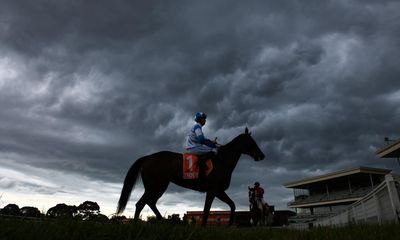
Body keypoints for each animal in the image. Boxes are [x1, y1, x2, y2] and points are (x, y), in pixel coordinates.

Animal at [116, 127, 266, 225]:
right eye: (252, 142)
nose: (262, 156)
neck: (222, 161)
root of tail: (147, 158)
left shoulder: (218, 191)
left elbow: (232, 205)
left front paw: (230, 224)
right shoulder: (213, 191)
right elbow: (206, 210)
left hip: (157, 187)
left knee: (149, 203)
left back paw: (164, 222)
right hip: (156, 186)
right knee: (141, 203)